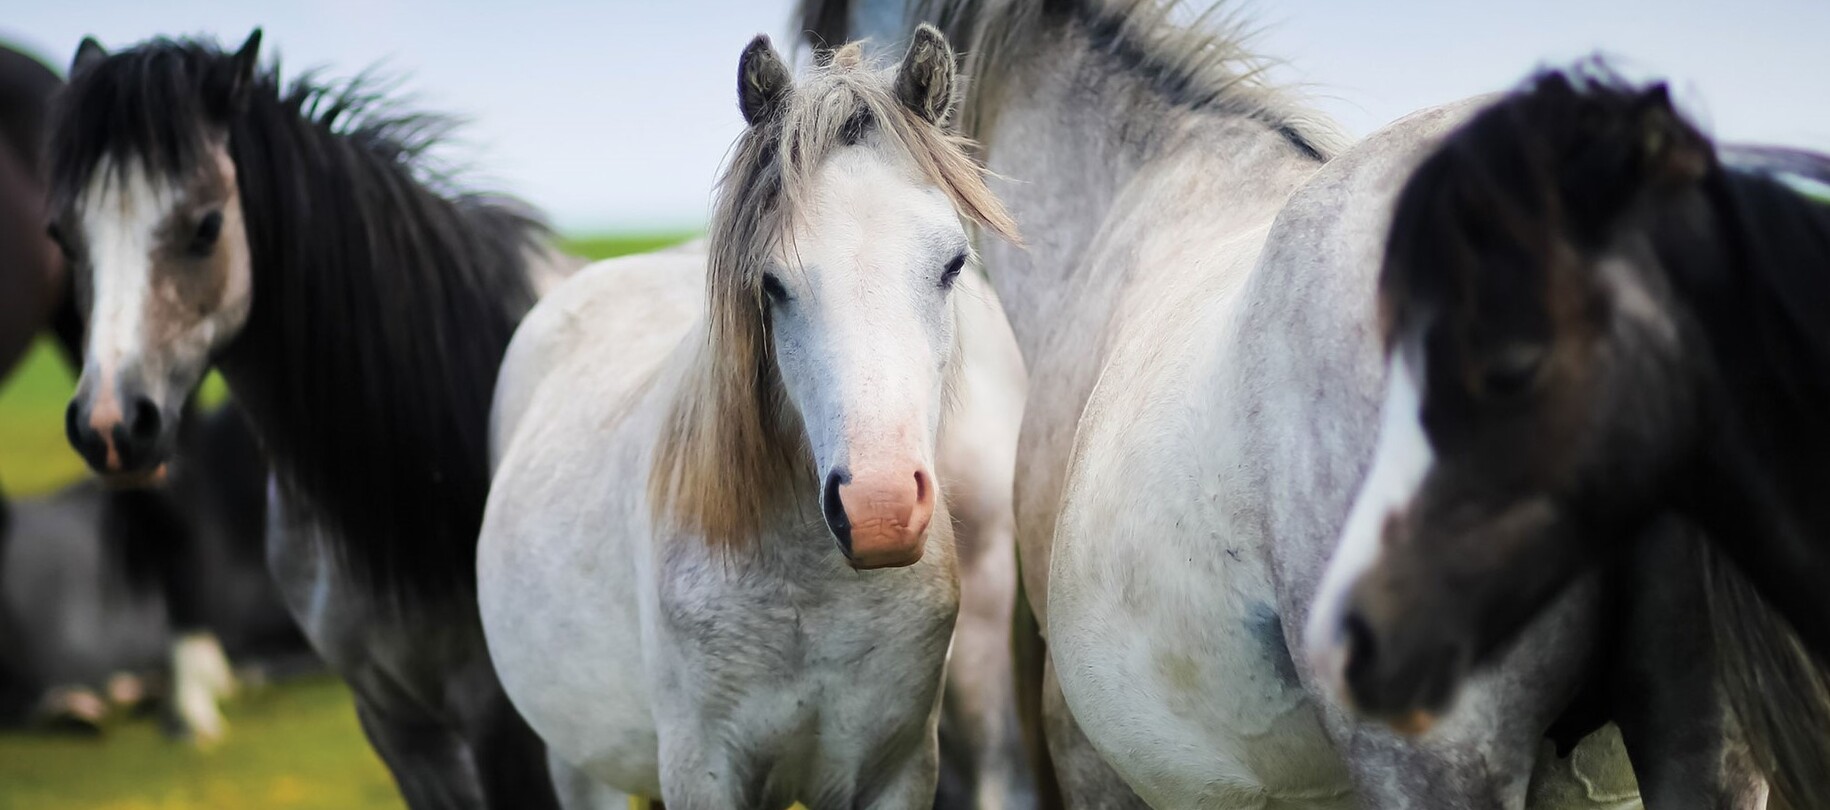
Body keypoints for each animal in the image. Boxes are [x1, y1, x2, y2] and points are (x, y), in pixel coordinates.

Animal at [478, 30, 1022, 807]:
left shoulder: (896, 768)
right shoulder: (703, 770)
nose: (881, 509)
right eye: (773, 283)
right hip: (581, 763)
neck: (813, 594)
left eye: (952, 263)